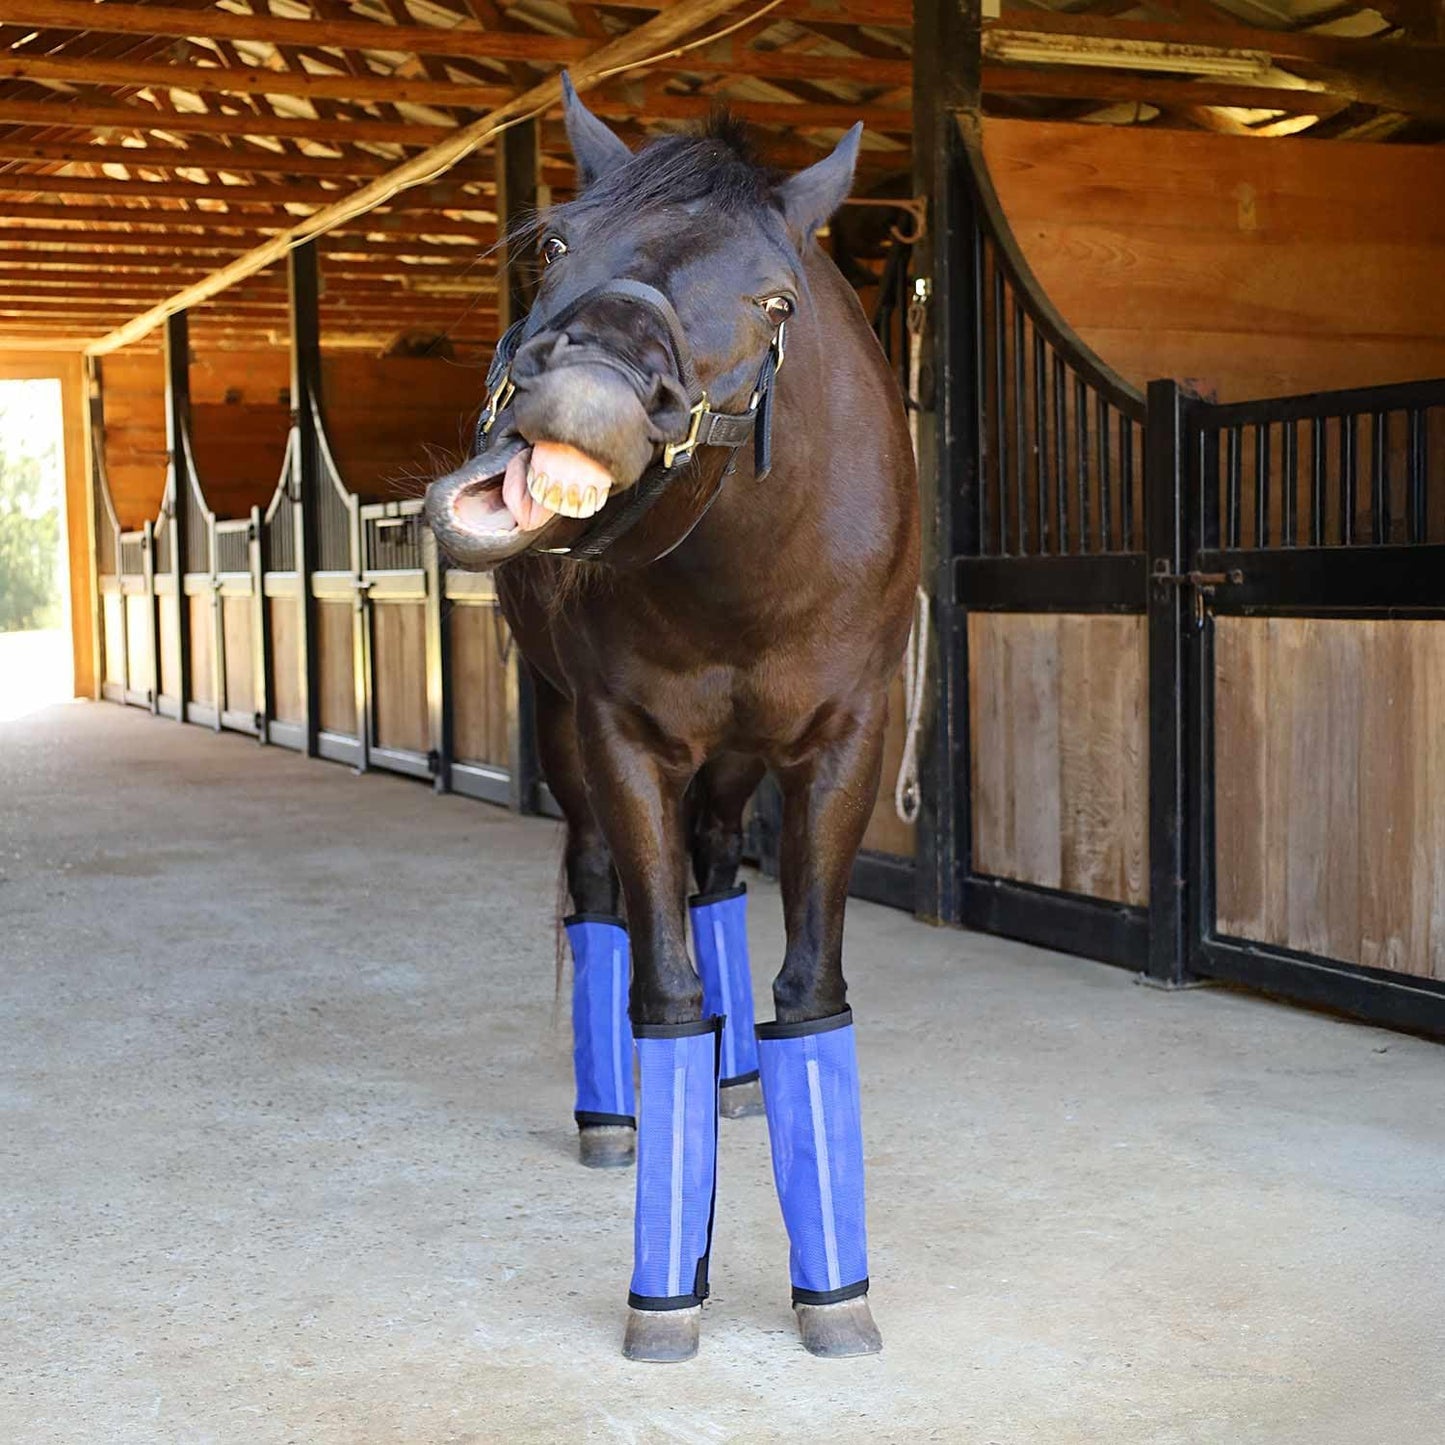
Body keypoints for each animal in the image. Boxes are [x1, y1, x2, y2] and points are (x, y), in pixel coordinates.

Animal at [425, 79, 918, 1363]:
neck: (745, 573)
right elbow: (662, 986)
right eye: (553, 244)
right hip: (569, 736)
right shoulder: (622, 740)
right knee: (604, 898)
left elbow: (808, 988)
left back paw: (738, 1084)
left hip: (738, 763)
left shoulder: (846, 740)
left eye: (774, 298)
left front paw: (832, 1293)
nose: (585, 401)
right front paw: (666, 1288)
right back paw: (616, 1116)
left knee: (714, 877)